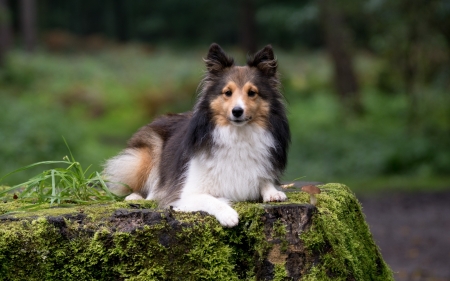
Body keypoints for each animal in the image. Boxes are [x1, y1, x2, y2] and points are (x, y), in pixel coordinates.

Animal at [103, 44, 290, 228]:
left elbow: (264, 180)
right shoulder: (186, 195)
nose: (237, 111)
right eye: (227, 92)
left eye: (252, 92)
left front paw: (273, 192)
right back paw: (137, 196)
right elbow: (210, 199)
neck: (237, 135)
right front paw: (228, 215)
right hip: (146, 155)